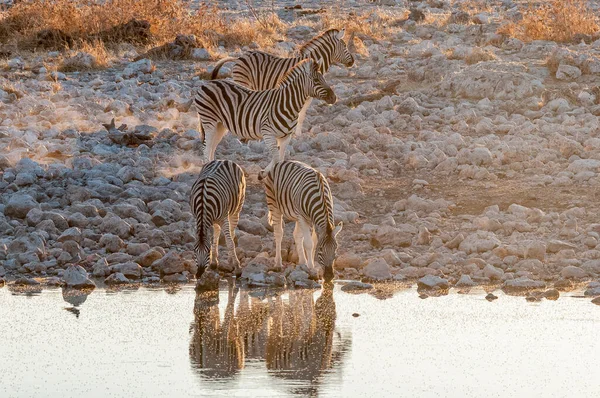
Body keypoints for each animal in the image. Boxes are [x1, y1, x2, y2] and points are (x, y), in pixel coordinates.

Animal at [197, 58, 338, 173]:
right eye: (316, 80)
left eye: (324, 78)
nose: (334, 98)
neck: (287, 105)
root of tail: (209, 82)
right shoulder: (268, 134)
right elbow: (275, 157)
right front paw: (264, 173)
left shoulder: (286, 137)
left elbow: (280, 158)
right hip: (209, 121)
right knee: (206, 146)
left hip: (220, 125)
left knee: (212, 146)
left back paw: (214, 166)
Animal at [210, 28, 354, 138]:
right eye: (345, 46)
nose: (352, 62)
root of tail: (238, 58)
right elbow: (299, 114)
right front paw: (296, 135)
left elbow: (302, 114)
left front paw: (297, 133)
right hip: (243, 81)